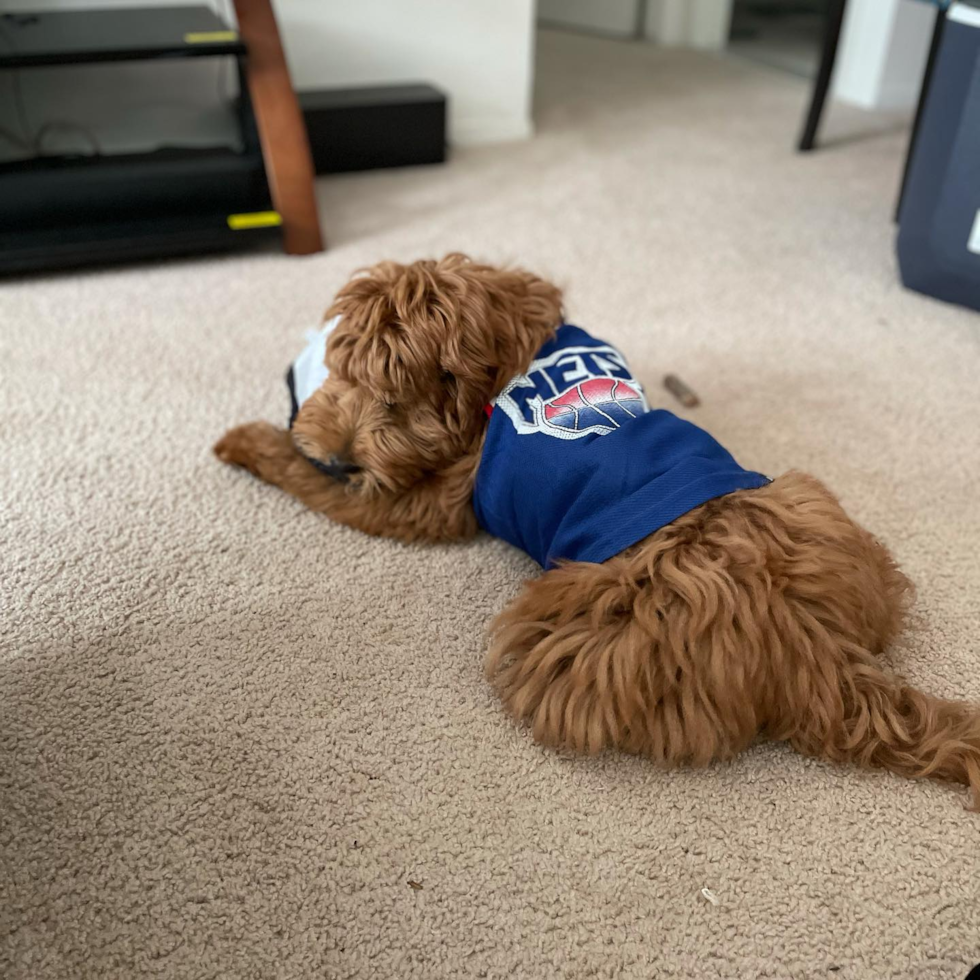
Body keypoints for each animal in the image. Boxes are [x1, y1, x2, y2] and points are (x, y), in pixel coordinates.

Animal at [214, 255, 980, 812]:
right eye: (344, 370)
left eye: (395, 400)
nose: (343, 454)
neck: (511, 351)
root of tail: (818, 654)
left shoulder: (428, 502)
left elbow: (333, 491)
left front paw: (253, 443)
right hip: (816, 514)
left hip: (565, 629)